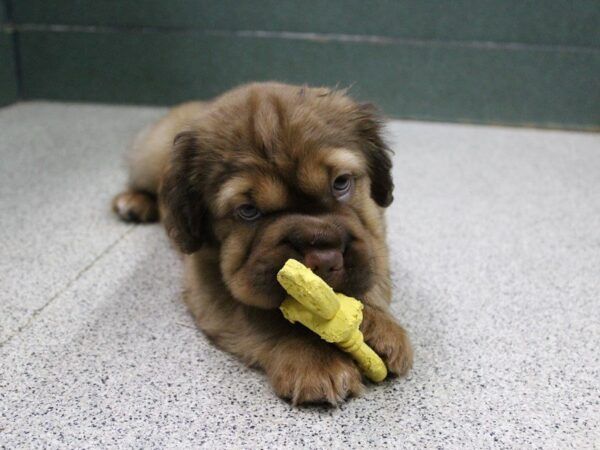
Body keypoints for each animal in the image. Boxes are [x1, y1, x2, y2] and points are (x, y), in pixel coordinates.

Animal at [112, 81, 412, 404]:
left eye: (341, 183)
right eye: (248, 211)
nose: (323, 258)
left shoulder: (374, 236)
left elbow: (371, 276)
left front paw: (377, 327)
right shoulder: (208, 278)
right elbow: (264, 316)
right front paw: (314, 358)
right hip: (148, 157)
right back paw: (133, 202)